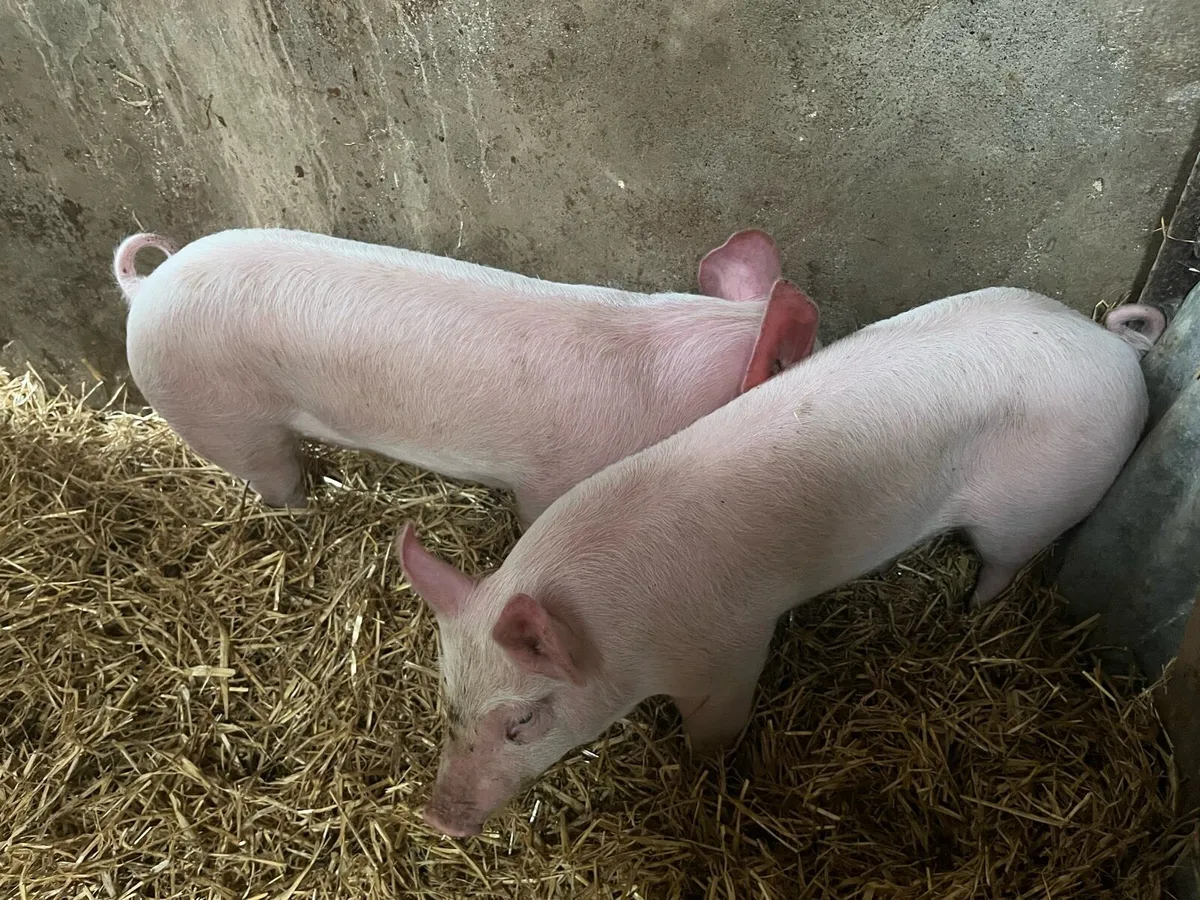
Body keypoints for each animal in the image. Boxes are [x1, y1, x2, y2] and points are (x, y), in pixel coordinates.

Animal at [396, 288, 1166, 836]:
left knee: (1005, 568)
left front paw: (703, 775)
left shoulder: (730, 654)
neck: (616, 632)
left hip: (1034, 508)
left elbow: (716, 731)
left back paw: (969, 611)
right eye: (446, 699)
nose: (438, 819)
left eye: (523, 721)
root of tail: (1112, 344)